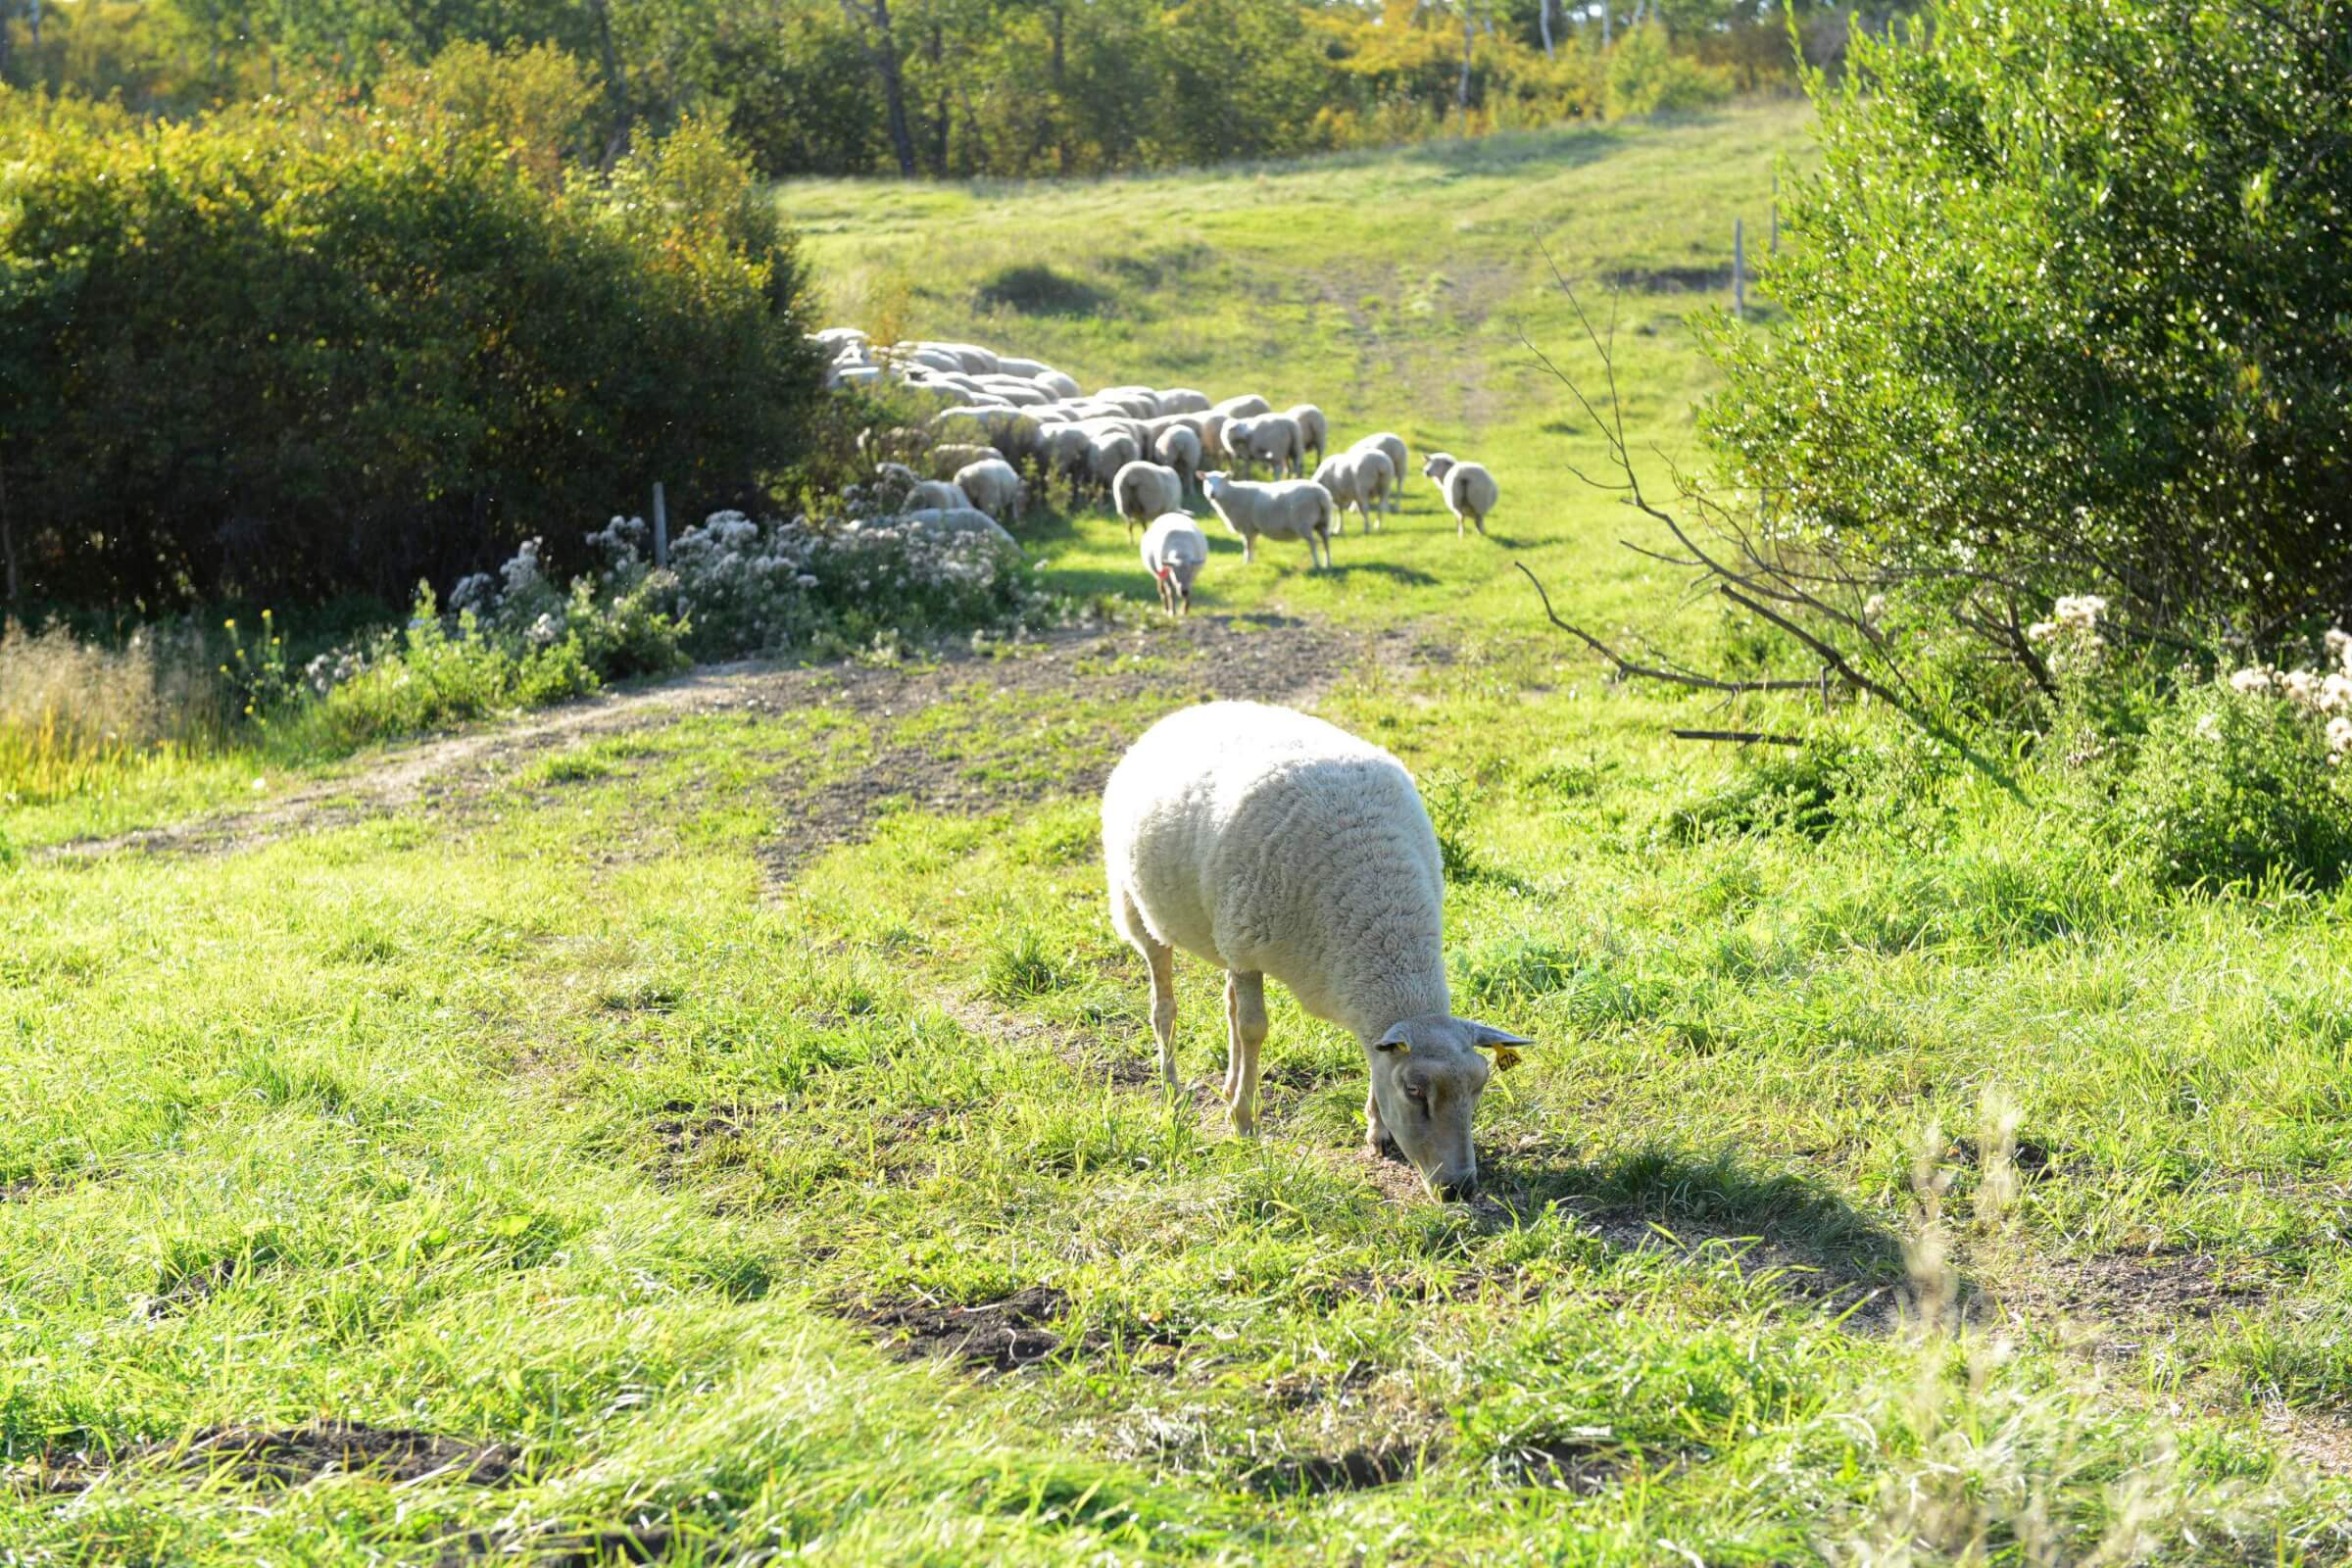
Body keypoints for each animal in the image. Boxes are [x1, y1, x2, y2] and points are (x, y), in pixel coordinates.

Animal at [1096, 700, 1524, 1189]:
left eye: (1480, 1086)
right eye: (1414, 1090)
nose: (1460, 1189)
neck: (1382, 912)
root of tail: (1191, 710)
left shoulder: (1249, 949)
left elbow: (1362, 1050)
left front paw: (1376, 1128)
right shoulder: (1246, 947)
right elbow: (1255, 1030)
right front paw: (1245, 1122)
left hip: (1221, 933)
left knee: (1228, 1006)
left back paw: (1227, 1084)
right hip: (1141, 910)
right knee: (1165, 1008)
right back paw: (1174, 1089)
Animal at [1203, 472, 1336, 570]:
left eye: (1222, 481)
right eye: (1207, 481)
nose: (1212, 494)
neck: (1231, 495)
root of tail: (1321, 494)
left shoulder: (1247, 526)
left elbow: (1247, 545)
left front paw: (1246, 563)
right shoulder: (1252, 529)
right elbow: (1252, 544)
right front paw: (1251, 562)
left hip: (1303, 521)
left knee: (1313, 543)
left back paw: (1317, 564)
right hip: (1322, 521)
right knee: (1326, 541)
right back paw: (1328, 563)